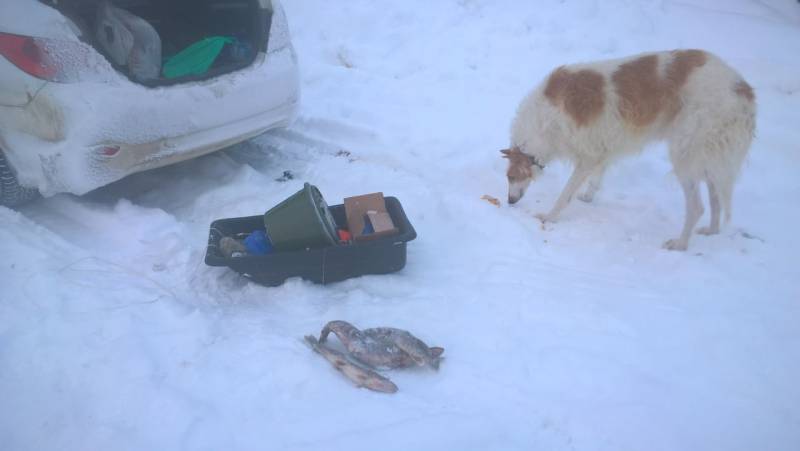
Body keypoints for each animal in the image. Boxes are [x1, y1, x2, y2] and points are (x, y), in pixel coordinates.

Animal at [504, 51, 752, 252]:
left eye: (512, 177)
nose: (510, 201)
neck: (542, 120)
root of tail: (743, 89)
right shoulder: (600, 149)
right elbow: (596, 178)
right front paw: (588, 196)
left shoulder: (587, 156)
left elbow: (564, 195)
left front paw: (550, 216)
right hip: (710, 158)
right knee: (716, 200)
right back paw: (711, 231)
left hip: (685, 155)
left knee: (697, 207)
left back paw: (680, 244)